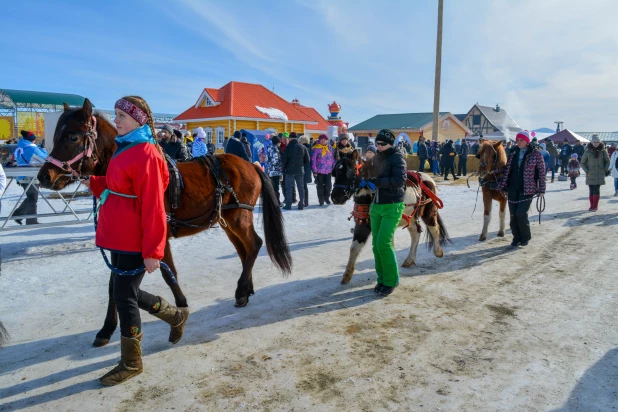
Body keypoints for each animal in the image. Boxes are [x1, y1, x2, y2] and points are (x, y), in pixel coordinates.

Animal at [37, 100, 292, 348]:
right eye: (56, 134)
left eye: (72, 137)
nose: (44, 177)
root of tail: (252, 165)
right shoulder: (120, 248)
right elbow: (113, 284)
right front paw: (106, 328)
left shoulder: (158, 239)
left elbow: (168, 275)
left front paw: (180, 309)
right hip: (227, 220)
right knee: (244, 251)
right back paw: (246, 290)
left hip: (239, 217)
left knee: (254, 244)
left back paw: (241, 290)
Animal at [328, 150, 448, 284]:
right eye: (335, 172)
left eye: (349, 172)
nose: (335, 197)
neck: (371, 195)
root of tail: (426, 178)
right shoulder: (363, 223)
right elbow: (354, 247)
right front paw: (347, 274)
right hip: (410, 218)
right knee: (415, 234)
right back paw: (409, 259)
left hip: (429, 213)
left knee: (434, 229)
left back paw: (438, 252)